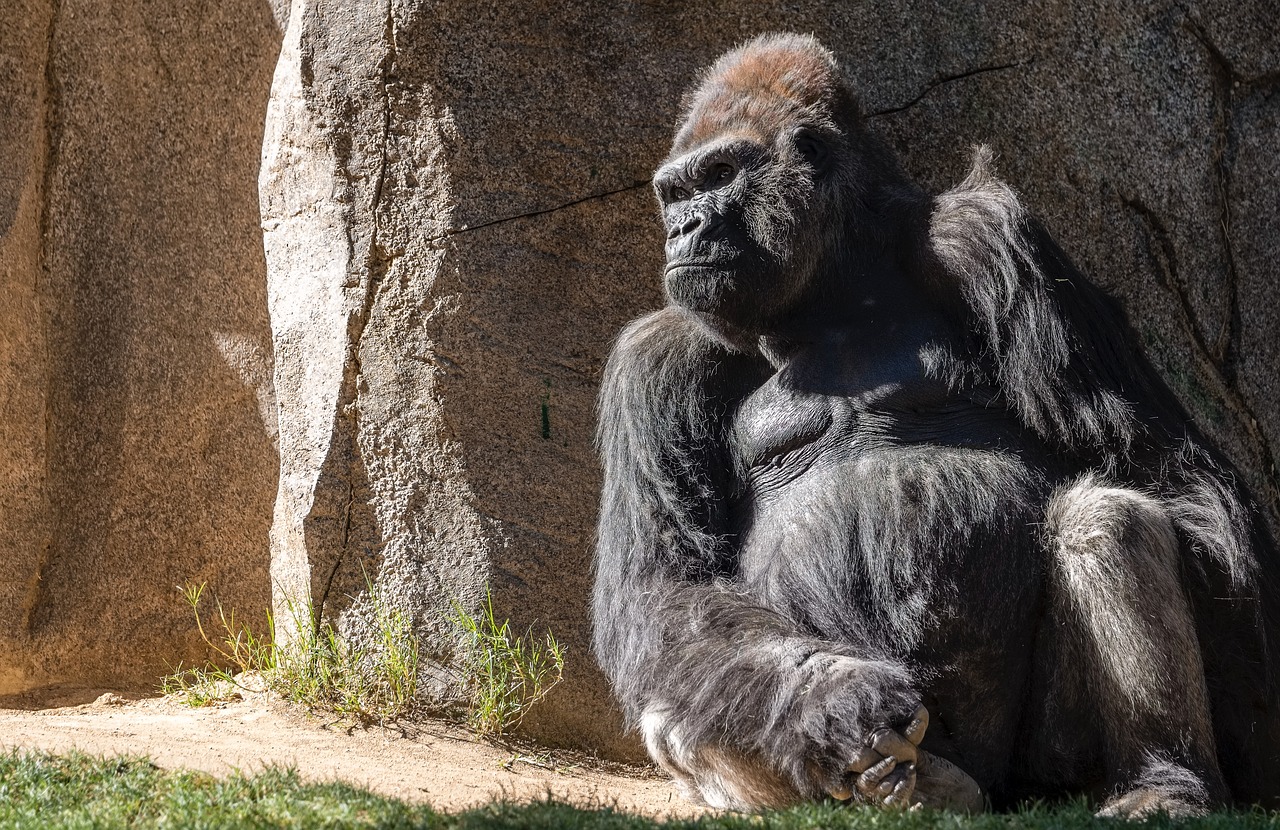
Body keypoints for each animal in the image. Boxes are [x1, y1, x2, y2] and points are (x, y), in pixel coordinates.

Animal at [591, 34, 1280, 814]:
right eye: (675, 194)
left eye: (719, 174)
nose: (683, 229)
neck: (832, 291)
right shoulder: (654, 362)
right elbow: (667, 588)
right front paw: (833, 701)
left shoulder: (988, 238)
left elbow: (1165, 468)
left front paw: (1249, 708)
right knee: (683, 689)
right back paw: (913, 779)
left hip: (1041, 771)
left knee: (1107, 518)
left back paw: (1163, 779)